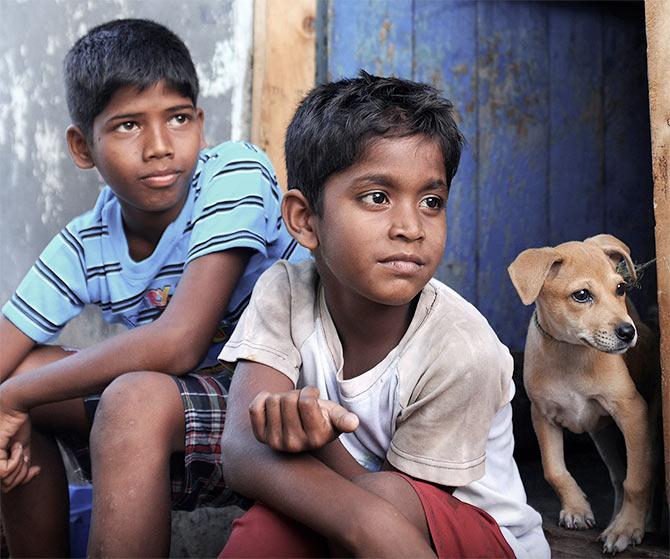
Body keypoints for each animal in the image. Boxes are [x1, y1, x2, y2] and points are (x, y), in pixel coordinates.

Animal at [510, 233, 660, 556]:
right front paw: (577, 509)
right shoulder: (542, 415)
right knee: (617, 474)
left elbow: (637, 480)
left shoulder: (633, 412)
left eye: (621, 288)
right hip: (603, 436)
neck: (572, 353)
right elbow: (554, 470)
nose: (627, 333)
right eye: (581, 295)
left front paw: (626, 528)